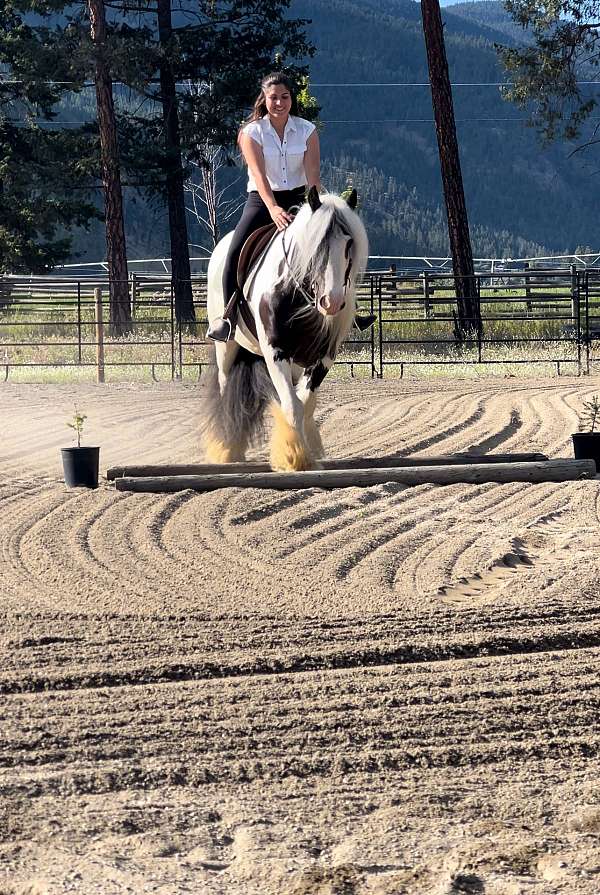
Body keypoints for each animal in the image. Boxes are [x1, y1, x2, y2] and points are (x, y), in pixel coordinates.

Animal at [204, 186, 368, 472]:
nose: (332, 302)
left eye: (349, 244)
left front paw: (308, 449)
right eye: (316, 244)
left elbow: (306, 402)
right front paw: (295, 457)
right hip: (226, 347)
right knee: (225, 387)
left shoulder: (324, 356)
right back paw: (228, 448)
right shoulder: (275, 352)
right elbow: (292, 405)